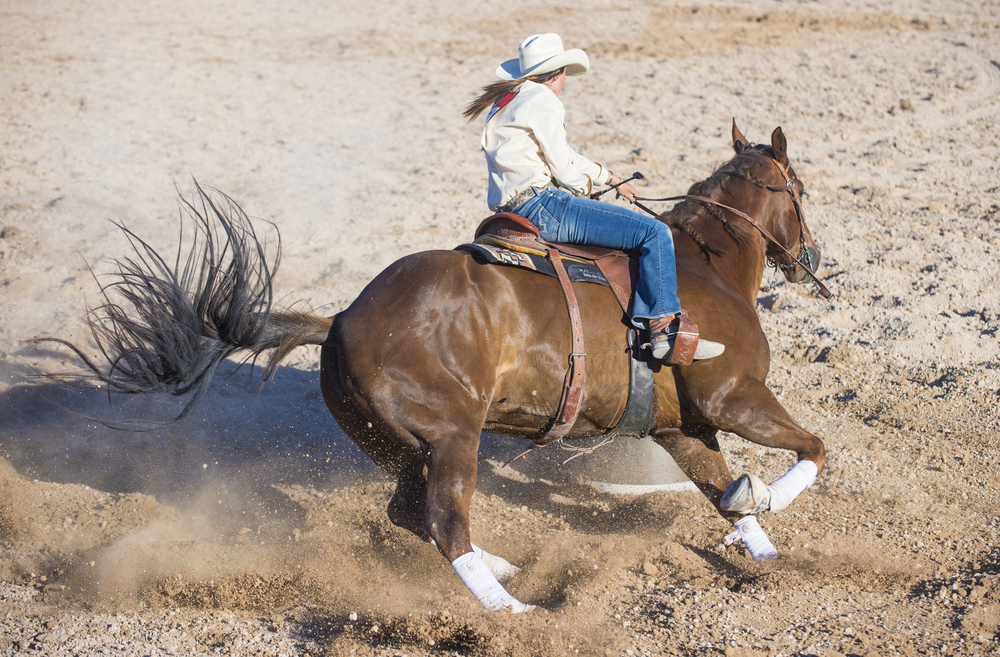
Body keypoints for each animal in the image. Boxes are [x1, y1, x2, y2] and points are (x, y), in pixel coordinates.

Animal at [39, 121, 824, 608]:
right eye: (801, 189)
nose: (810, 257)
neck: (703, 266)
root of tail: (342, 320)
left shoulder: (679, 427)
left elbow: (723, 491)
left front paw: (771, 553)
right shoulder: (734, 397)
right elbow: (810, 448)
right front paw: (771, 498)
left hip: (397, 444)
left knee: (409, 512)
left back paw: (505, 566)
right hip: (452, 437)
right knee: (445, 525)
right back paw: (515, 611)